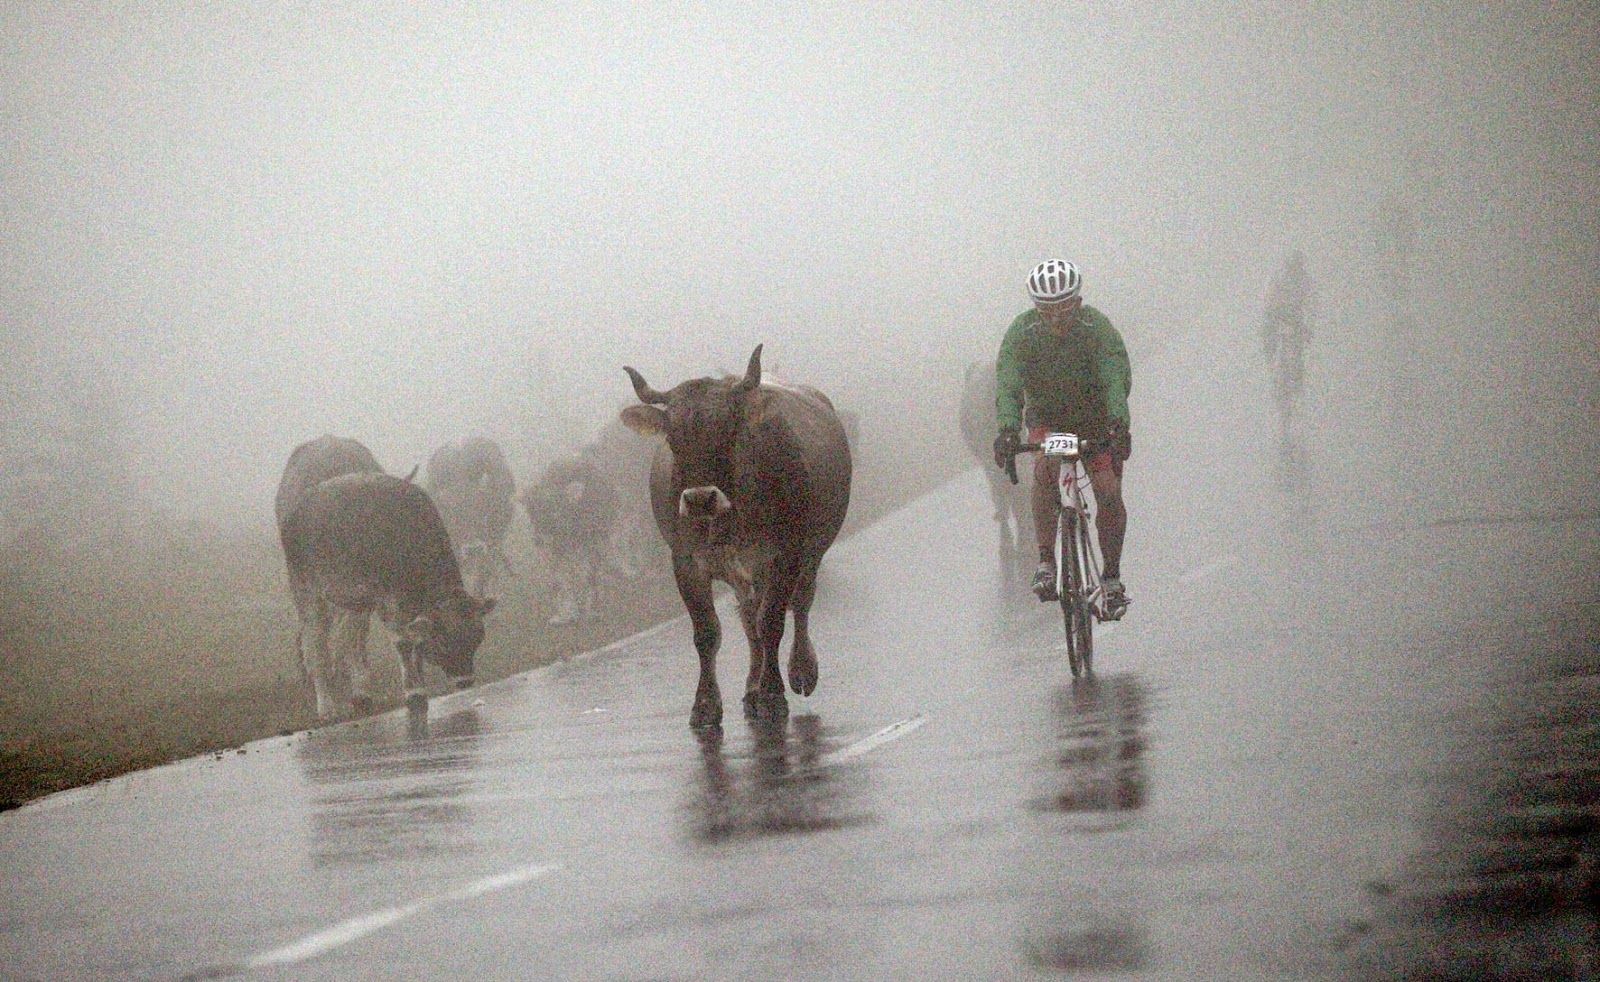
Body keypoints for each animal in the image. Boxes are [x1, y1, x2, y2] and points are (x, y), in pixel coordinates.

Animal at [278, 473, 492, 719]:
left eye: (477, 638)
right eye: (444, 642)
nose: (465, 682)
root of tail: (296, 510)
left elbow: (415, 642)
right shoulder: (388, 601)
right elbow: (404, 643)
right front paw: (414, 692)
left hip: (351, 602)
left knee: (348, 638)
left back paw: (361, 694)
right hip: (308, 593)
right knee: (314, 643)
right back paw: (327, 706)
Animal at [620, 347, 851, 732]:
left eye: (729, 431)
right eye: (673, 439)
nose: (699, 499)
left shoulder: (784, 556)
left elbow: (772, 622)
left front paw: (772, 695)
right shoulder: (686, 563)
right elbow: (707, 633)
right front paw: (706, 705)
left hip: (811, 554)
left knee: (799, 604)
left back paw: (801, 670)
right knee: (748, 619)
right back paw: (751, 688)